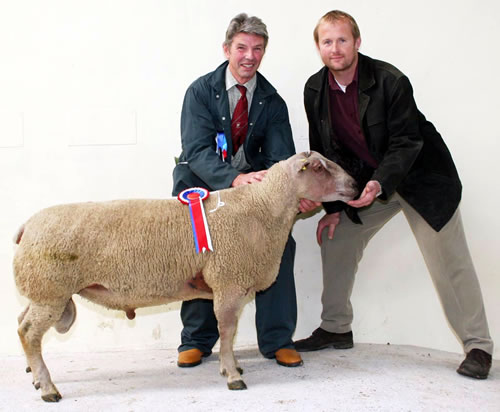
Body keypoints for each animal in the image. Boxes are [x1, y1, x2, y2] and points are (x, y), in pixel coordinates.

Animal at [11, 150, 356, 400]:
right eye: (320, 168)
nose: (354, 185)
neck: (262, 208)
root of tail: (27, 225)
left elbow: (228, 333)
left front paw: (232, 367)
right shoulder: (228, 283)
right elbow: (227, 331)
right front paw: (232, 376)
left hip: (42, 292)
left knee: (20, 323)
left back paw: (34, 377)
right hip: (50, 291)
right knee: (28, 332)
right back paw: (48, 389)